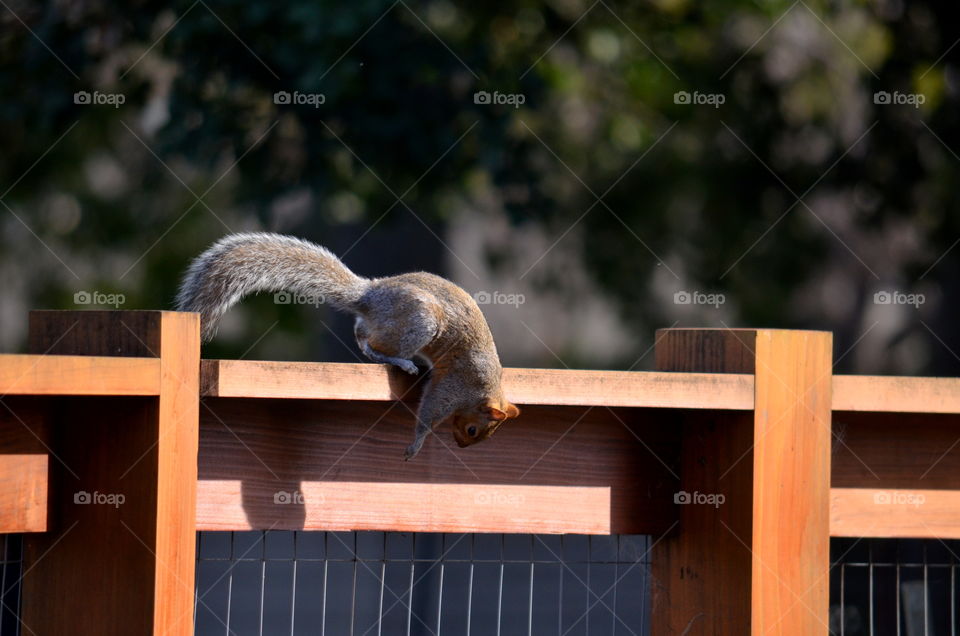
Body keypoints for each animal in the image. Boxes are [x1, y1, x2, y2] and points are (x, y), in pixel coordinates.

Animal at [175, 232, 520, 460]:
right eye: (474, 431)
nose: (461, 445)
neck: (486, 387)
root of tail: (369, 296)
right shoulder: (454, 386)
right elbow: (430, 411)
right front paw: (416, 445)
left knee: (360, 329)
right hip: (420, 322)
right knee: (372, 341)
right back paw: (400, 361)